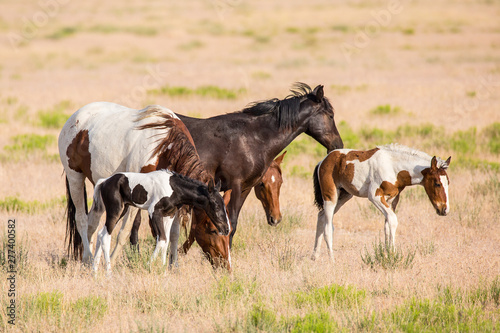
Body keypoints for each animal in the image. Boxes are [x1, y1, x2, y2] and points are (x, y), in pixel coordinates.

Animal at [90, 169, 230, 272]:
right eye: (216, 205)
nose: (226, 229)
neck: (174, 188)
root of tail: (104, 182)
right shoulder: (154, 212)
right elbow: (162, 239)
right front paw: (148, 266)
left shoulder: (169, 215)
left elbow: (166, 241)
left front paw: (163, 271)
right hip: (115, 210)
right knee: (105, 236)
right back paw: (108, 273)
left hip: (123, 210)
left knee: (101, 233)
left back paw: (95, 272)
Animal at [310, 144, 452, 260]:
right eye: (437, 183)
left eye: (448, 183)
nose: (444, 209)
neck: (393, 167)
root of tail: (323, 161)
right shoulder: (375, 196)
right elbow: (393, 220)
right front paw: (393, 255)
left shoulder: (392, 200)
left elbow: (387, 226)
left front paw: (386, 254)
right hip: (331, 196)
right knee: (328, 227)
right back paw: (332, 260)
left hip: (344, 196)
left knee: (321, 216)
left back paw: (314, 256)